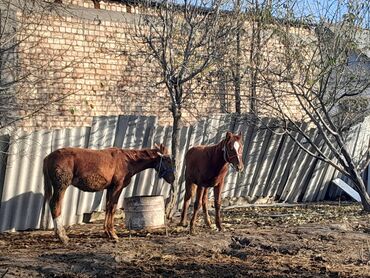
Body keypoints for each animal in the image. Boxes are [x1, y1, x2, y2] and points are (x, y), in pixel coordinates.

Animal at [41, 143, 174, 243]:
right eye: (167, 160)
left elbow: (108, 207)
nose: (172, 178)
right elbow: (113, 207)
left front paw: (107, 232)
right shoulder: (117, 187)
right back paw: (62, 236)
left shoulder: (110, 188)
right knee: (55, 205)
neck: (127, 160)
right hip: (61, 187)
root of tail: (48, 158)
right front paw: (113, 234)